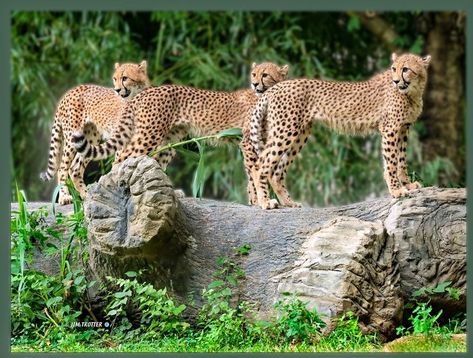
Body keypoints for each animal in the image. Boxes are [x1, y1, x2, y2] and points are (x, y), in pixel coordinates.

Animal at [41, 59, 151, 203]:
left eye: (125, 78)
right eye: (115, 79)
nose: (117, 90)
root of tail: (70, 91)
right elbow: (119, 164)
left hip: (89, 138)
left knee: (75, 168)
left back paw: (87, 195)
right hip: (72, 138)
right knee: (62, 168)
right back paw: (65, 197)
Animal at [71, 61, 288, 201]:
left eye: (265, 74)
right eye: (254, 74)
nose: (255, 83)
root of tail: (148, 90)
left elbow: (254, 174)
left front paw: (257, 202)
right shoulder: (248, 142)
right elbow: (255, 172)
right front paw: (263, 202)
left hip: (167, 141)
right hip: (149, 135)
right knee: (121, 158)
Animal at [247, 53, 432, 210]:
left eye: (405, 69)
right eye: (394, 68)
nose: (395, 80)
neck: (412, 92)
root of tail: (277, 87)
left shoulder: (403, 129)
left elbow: (401, 160)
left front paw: (407, 185)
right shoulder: (390, 128)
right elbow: (392, 161)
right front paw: (396, 190)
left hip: (299, 134)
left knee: (276, 172)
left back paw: (288, 203)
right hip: (285, 131)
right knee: (258, 166)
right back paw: (265, 202)